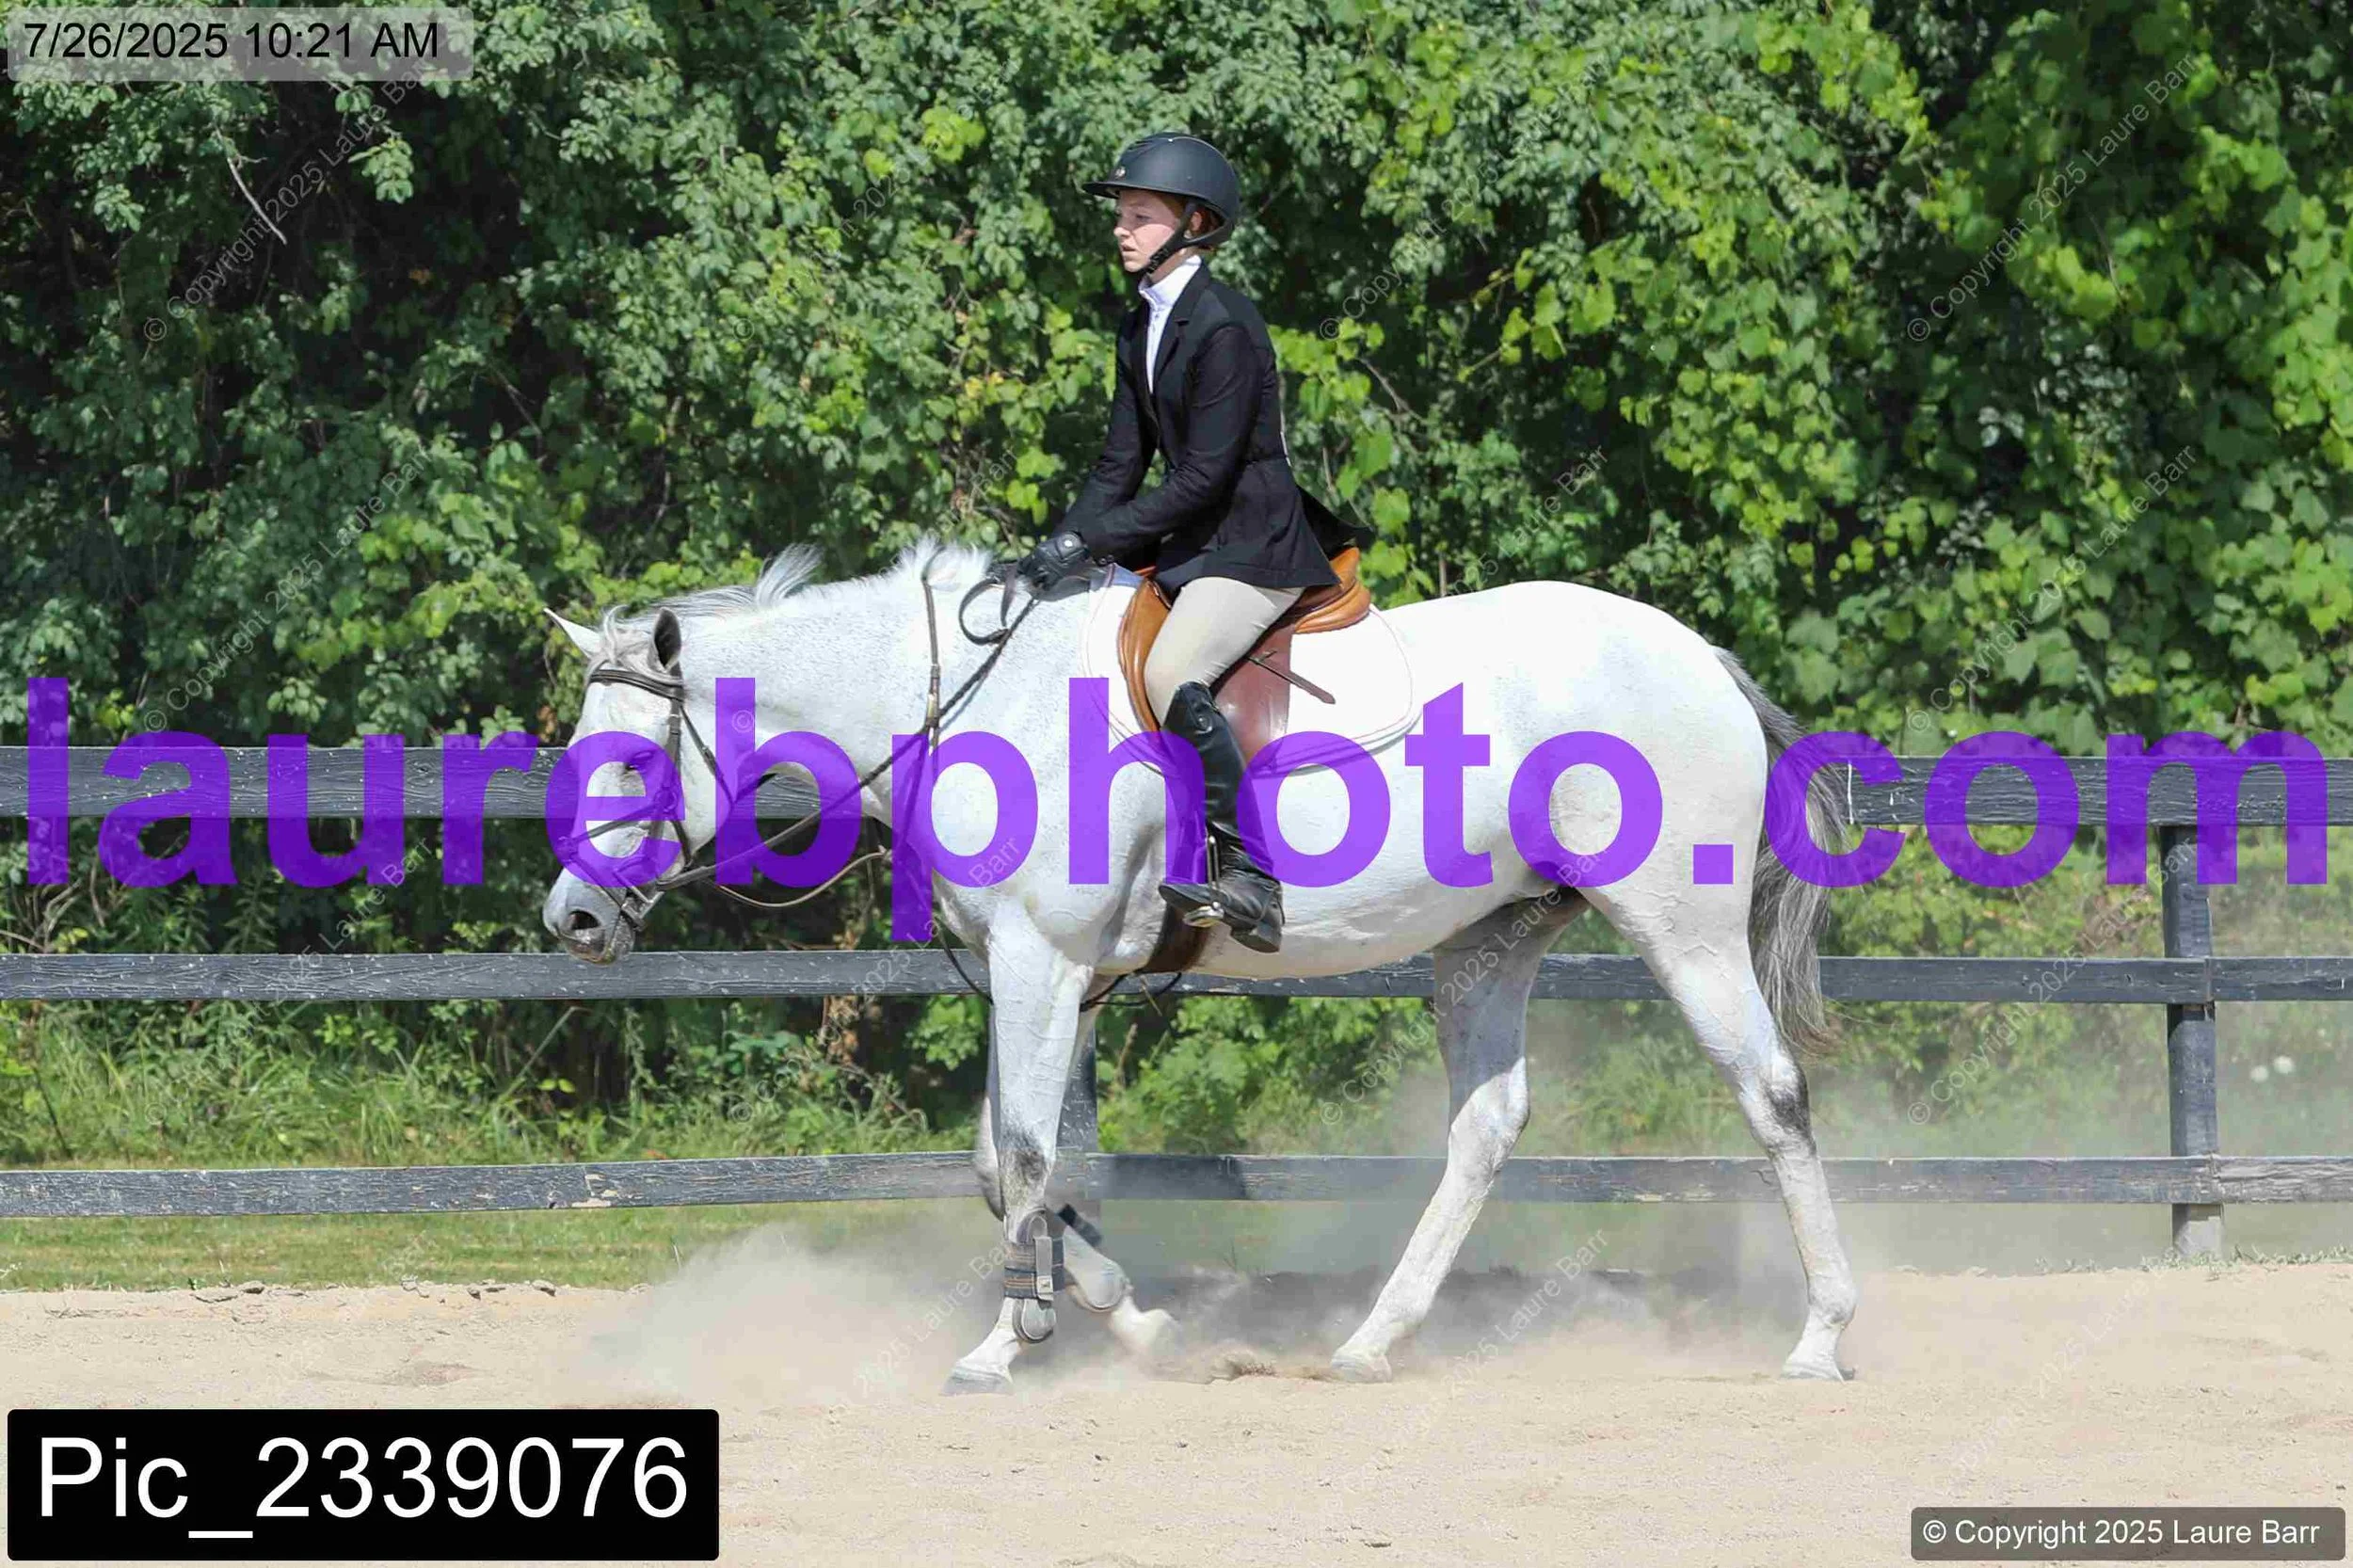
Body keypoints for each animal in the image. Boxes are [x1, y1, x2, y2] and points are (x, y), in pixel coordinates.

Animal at [539, 539, 1858, 1391]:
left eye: (629, 764)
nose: (575, 926)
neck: (966, 707)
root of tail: (1699, 658)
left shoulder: (1039, 965)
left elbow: (1026, 1156)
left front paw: (1002, 1345)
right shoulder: (1042, 975)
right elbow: (1005, 1160)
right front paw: (1125, 1319)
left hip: (1681, 929)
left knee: (1772, 1095)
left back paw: (1819, 1337)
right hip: (1489, 940)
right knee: (1485, 1127)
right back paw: (1372, 1342)